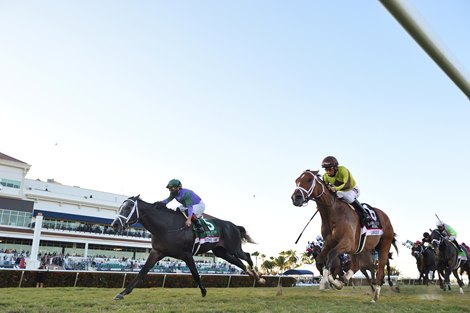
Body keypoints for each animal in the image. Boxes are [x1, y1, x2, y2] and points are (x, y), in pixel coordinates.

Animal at [110, 194, 264, 298]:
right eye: (120, 207)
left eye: (128, 207)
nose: (115, 224)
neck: (167, 226)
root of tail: (234, 226)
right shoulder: (156, 252)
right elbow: (142, 273)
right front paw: (122, 293)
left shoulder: (186, 254)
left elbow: (195, 274)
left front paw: (204, 291)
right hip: (222, 252)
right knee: (239, 262)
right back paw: (255, 276)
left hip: (234, 248)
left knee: (246, 256)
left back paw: (259, 276)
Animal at [292, 169, 398, 302]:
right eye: (296, 181)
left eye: (309, 180)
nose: (295, 198)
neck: (333, 212)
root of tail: (386, 217)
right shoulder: (330, 242)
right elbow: (321, 260)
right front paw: (335, 282)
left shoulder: (347, 243)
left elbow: (331, 256)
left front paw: (326, 282)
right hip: (357, 250)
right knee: (357, 266)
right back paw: (345, 281)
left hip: (383, 247)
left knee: (380, 270)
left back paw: (375, 295)